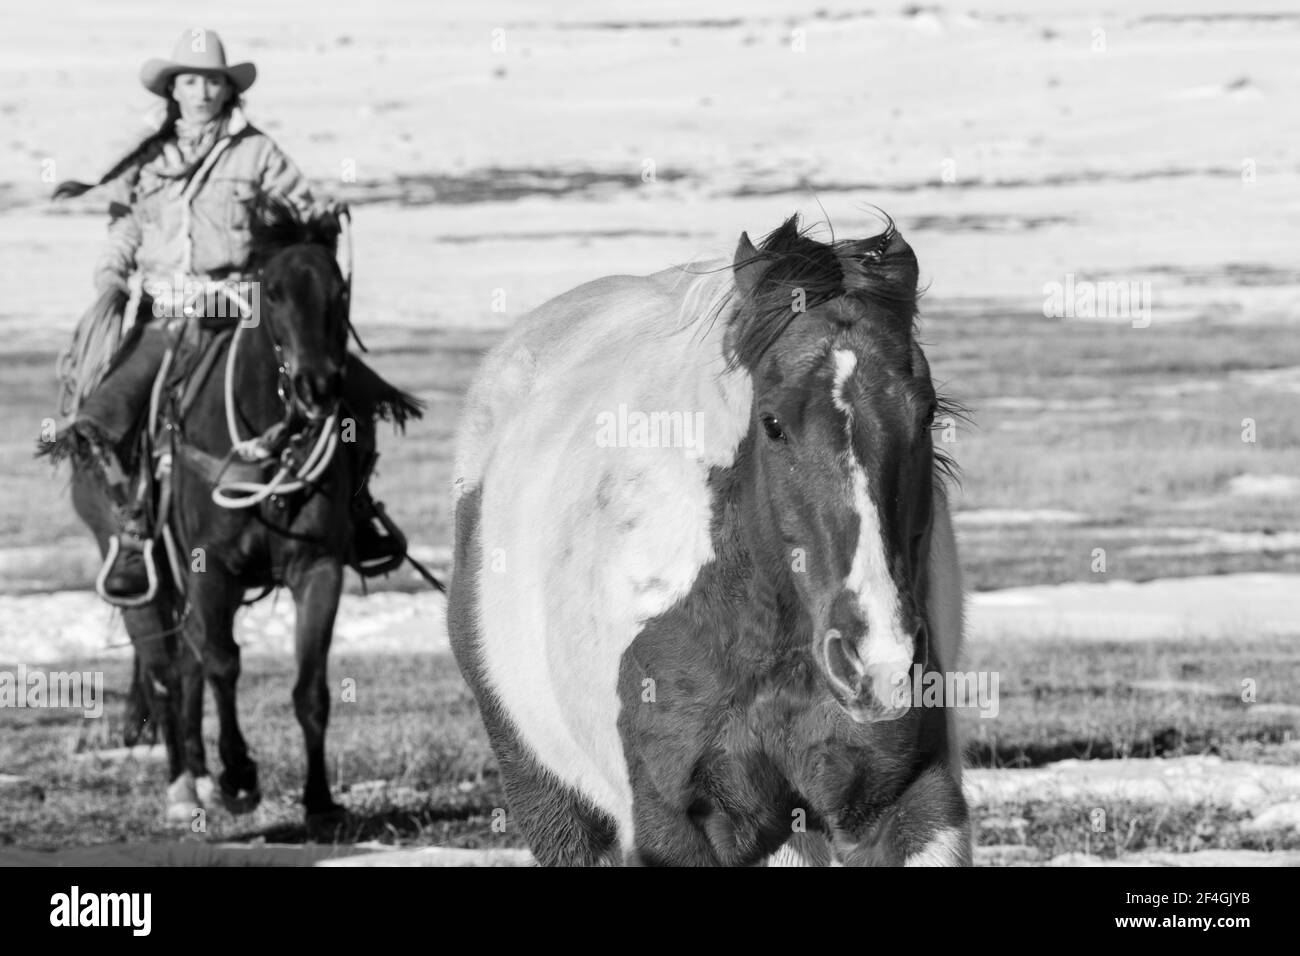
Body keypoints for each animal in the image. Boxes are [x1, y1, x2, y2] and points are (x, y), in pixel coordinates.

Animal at [55, 197, 418, 827]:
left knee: (187, 664)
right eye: (271, 291)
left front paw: (319, 802)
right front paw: (240, 776)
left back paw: (199, 774)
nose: (316, 385)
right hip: (140, 577)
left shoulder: (318, 570)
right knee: (166, 671)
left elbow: (309, 687)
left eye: (339, 289)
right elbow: (224, 664)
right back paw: (184, 786)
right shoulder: (211, 570)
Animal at [452, 217, 972, 868]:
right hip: (548, 791)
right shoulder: (674, 828)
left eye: (926, 414)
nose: (878, 661)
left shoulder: (904, 799)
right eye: (772, 423)